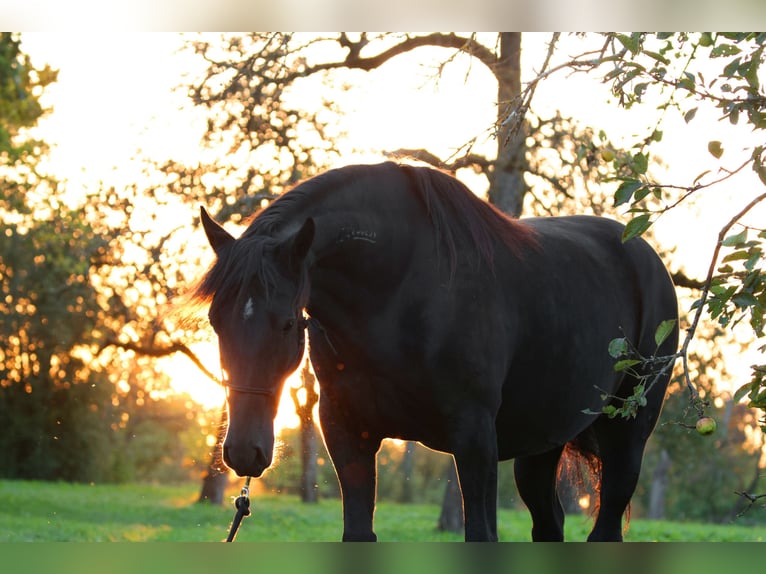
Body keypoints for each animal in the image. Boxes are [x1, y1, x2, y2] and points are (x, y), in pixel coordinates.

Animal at [190, 163, 680, 544]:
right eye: (215, 322)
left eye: (288, 323)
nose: (244, 452)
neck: (396, 290)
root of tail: (645, 254)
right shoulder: (347, 432)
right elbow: (358, 533)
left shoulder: (474, 435)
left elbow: (481, 534)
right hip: (542, 444)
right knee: (549, 522)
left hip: (627, 438)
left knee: (607, 526)